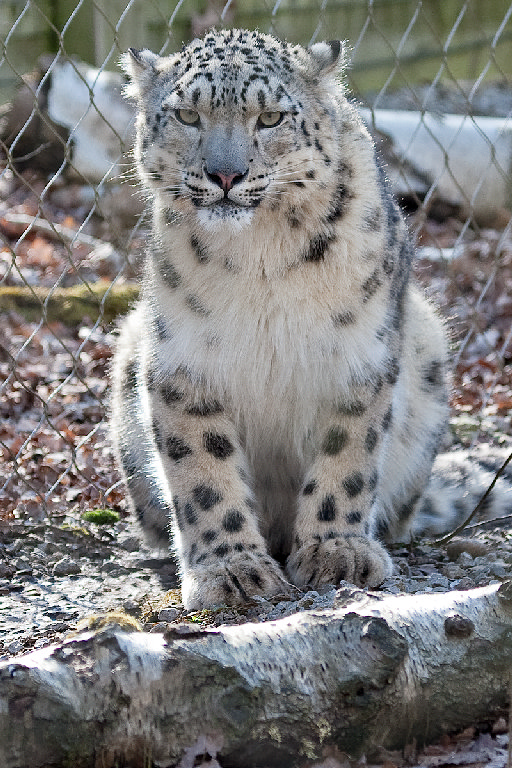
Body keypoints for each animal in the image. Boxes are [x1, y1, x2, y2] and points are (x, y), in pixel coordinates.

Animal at [111, 28, 511, 610]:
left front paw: (335, 551)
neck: (261, 258)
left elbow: (347, 454)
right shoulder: (185, 361)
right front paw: (230, 569)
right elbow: (203, 471)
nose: (225, 174)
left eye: (270, 118)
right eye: (188, 115)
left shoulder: (358, 355)